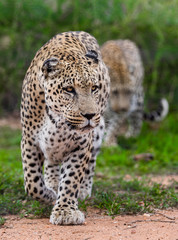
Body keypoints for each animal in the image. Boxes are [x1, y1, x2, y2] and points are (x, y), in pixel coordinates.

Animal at [20, 31, 110, 224]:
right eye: (69, 89)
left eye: (94, 87)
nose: (90, 115)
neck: (57, 119)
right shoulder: (29, 141)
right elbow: (32, 183)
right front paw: (49, 195)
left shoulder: (81, 145)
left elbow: (71, 179)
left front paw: (65, 211)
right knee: (51, 162)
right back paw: (53, 183)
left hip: (98, 132)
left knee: (90, 163)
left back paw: (83, 190)